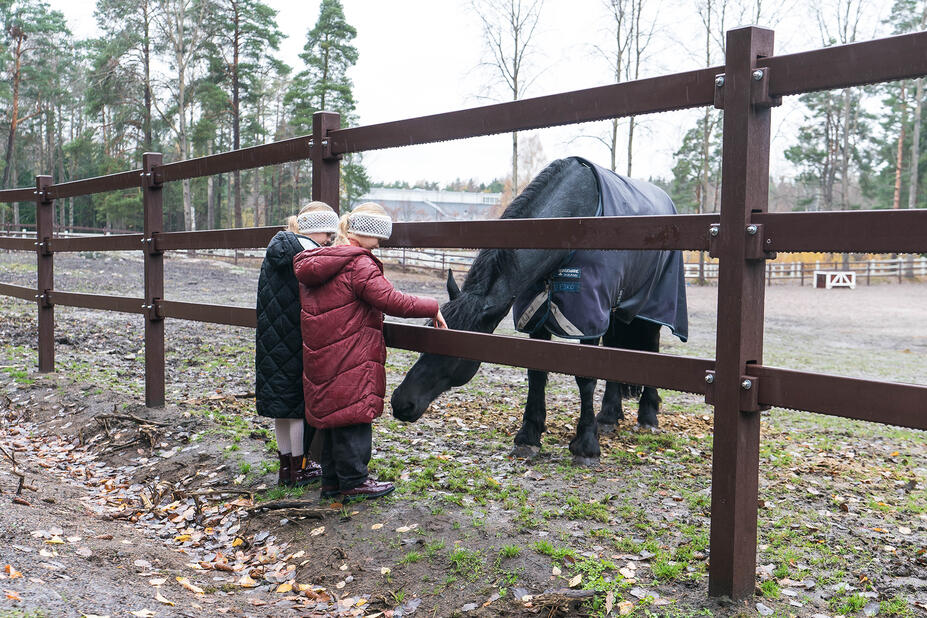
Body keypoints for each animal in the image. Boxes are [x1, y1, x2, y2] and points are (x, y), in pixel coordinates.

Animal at [388, 155, 684, 462]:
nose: (401, 402)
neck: (571, 225)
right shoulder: (538, 314)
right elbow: (536, 372)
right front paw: (529, 436)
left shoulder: (589, 314)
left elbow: (585, 376)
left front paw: (586, 445)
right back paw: (608, 416)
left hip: (651, 304)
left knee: (652, 347)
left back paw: (648, 416)